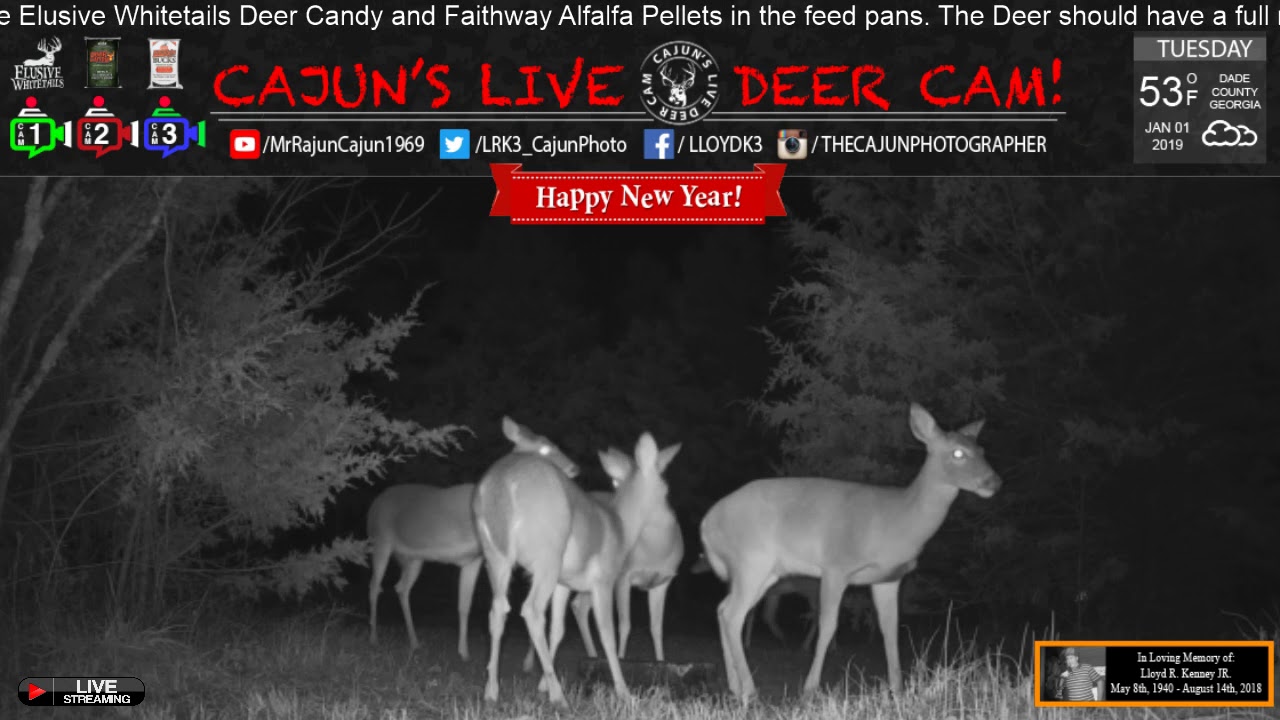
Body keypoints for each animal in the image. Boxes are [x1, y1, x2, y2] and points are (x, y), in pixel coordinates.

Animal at [366, 418, 579, 661]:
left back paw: (414, 642)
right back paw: (373, 638)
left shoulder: (472, 559)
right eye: (544, 448)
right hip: (379, 540)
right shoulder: (489, 555)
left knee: (401, 588)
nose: (574, 468)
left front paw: (464, 652)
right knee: (374, 586)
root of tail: (373, 506)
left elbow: (464, 605)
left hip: (413, 558)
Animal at [520, 446, 683, 671]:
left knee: (578, 606)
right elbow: (624, 624)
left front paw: (661, 661)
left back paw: (592, 655)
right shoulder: (623, 577)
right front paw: (622, 659)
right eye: (616, 482)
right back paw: (531, 663)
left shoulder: (663, 581)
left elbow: (657, 628)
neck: (655, 552)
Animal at [700, 402, 1001, 702]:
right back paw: (750, 691)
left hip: (765, 572)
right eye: (958, 453)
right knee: (733, 615)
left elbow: (890, 629)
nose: (994, 482)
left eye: (982, 450)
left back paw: (734, 686)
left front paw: (898, 689)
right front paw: (810, 689)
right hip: (751, 559)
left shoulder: (888, 578)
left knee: (722, 609)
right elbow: (828, 625)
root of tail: (706, 525)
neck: (897, 521)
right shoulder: (836, 566)